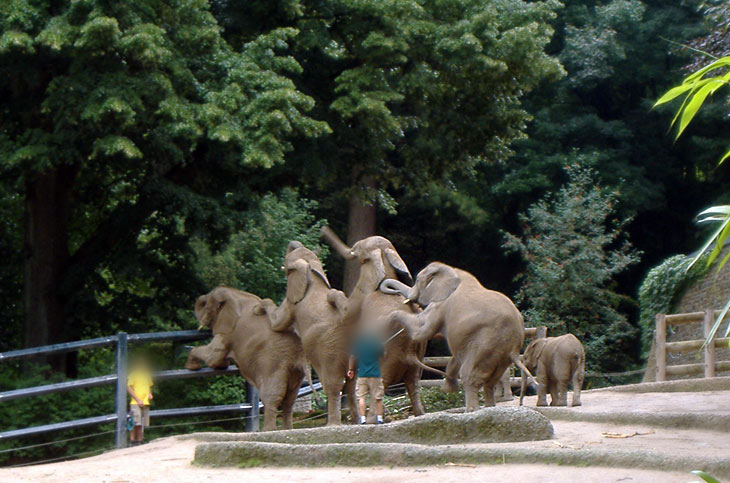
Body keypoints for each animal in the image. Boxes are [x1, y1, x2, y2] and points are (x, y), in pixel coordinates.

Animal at [185, 288, 308, 432]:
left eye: (206, 306)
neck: (234, 293)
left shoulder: (229, 331)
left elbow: (213, 357)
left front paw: (191, 367)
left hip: (274, 365)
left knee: (271, 396)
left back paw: (268, 430)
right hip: (295, 372)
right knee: (290, 399)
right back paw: (288, 429)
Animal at [258, 241, 358, 424]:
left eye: (287, 266)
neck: (310, 268)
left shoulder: (292, 302)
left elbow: (278, 323)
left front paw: (261, 304)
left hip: (330, 350)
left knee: (333, 384)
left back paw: (332, 425)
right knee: (351, 384)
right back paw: (355, 422)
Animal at [318, 229, 438, 418]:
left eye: (360, 256)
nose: (323, 230)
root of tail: (409, 351)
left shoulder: (361, 294)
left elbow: (346, 310)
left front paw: (331, 295)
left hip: (387, 356)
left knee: (381, 384)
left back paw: (371, 420)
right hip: (418, 353)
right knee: (413, 384)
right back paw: (419, 414)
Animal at [378, 262, 532, 414]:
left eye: (417, 281)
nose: (396, 292)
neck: (452, 270)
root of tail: (513, 349)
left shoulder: (441, 304)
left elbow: (422, 330)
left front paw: (389, 319)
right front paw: (448, 389)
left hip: (486, 343)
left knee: (470, 374)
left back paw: (471, 411)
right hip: (499, 351)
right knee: (492, 378)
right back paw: (489, 407)